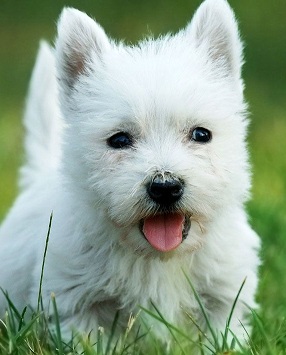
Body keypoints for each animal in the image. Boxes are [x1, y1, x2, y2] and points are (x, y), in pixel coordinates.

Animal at [0, 0, 260, 350]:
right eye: (120, 139)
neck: (157, 259)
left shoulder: (225, 297)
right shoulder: (75, 302)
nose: (165, 187)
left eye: (201, 134)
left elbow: (222, 338)